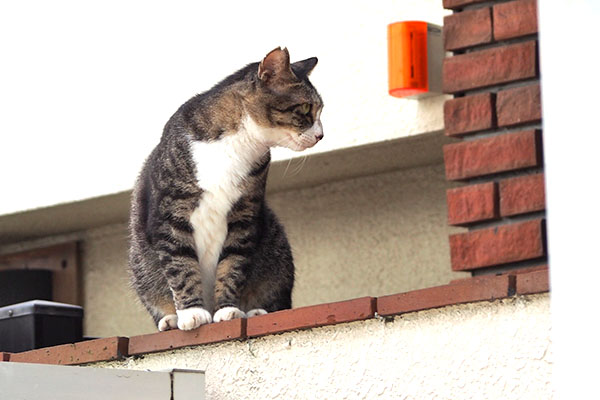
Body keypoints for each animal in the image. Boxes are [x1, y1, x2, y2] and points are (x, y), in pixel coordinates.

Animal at [127, 47, 324, 332]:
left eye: (321, 110)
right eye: (307, 108)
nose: (321, 135)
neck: (239, 143)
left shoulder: (244, 216)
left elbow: (233, 265)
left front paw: (228, 310)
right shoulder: (171, 214)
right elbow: (181, 265)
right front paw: (193, 313)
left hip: (276, 252)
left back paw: (256, 311)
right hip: (139, 261)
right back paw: (170, 319)